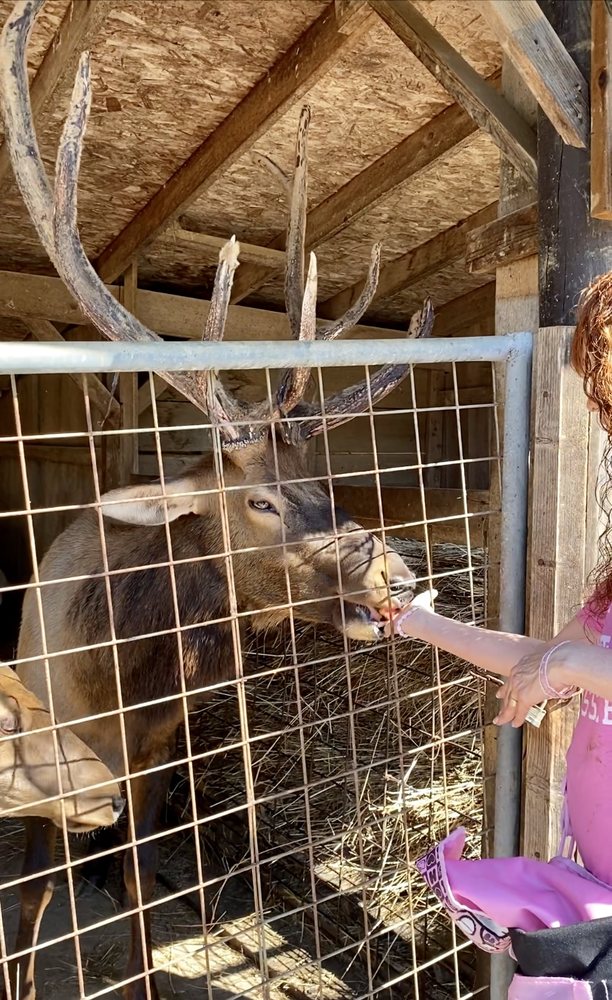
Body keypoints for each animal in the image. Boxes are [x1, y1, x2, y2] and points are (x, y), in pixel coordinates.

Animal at [0, 2, 434, 997]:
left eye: (320, 484)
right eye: (262, 504)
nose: (398, 575)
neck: (119, 681)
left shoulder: (157, 752)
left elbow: (134, 873)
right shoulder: (50, 751)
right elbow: (32, 898)